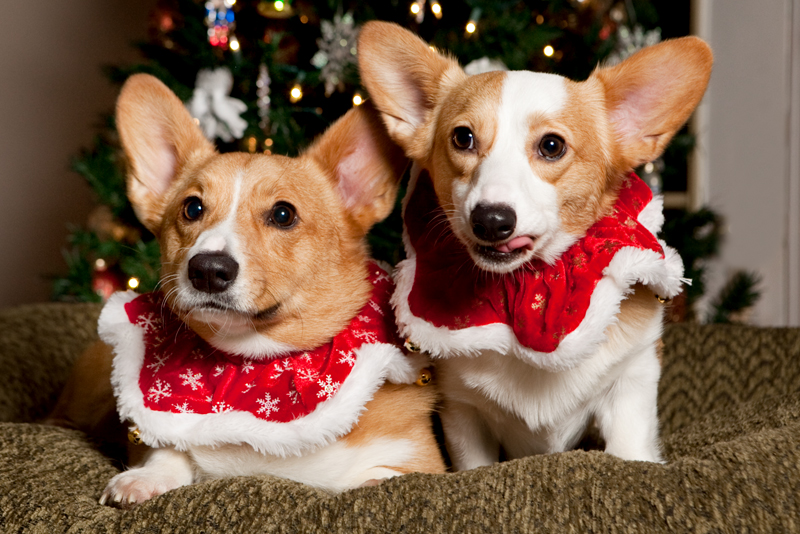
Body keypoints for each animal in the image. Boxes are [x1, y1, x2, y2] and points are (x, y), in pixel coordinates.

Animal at [49, 74, 444, 506]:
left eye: (283, 214)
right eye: (191, 208)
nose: (207, 270)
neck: (255, 363)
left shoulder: (419, 459)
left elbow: (376, 476)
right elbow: (167, 450)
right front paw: (142, 480)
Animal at [358, 23, 712, 472]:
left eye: (552, 146)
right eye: (463, 138)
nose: (490, 219)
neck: (528, 285)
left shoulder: (632, 380)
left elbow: (630, 450)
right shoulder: (463, 411)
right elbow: (474, 464)